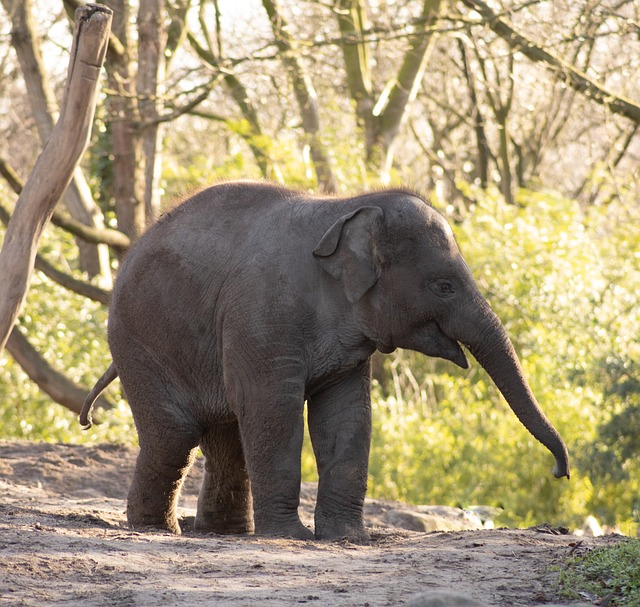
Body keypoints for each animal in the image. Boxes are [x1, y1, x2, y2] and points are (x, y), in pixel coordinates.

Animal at [81, 179, 568, 540]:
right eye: (444, 286)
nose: (560, 472)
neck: (346, 206)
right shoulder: (263, 313)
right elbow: (275, 409)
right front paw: (291, 537)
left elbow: (346, 416)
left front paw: (347, 538)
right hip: (139, 341)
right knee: (175, 435)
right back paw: (158, 529)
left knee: (227, 437)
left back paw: (224, 532)